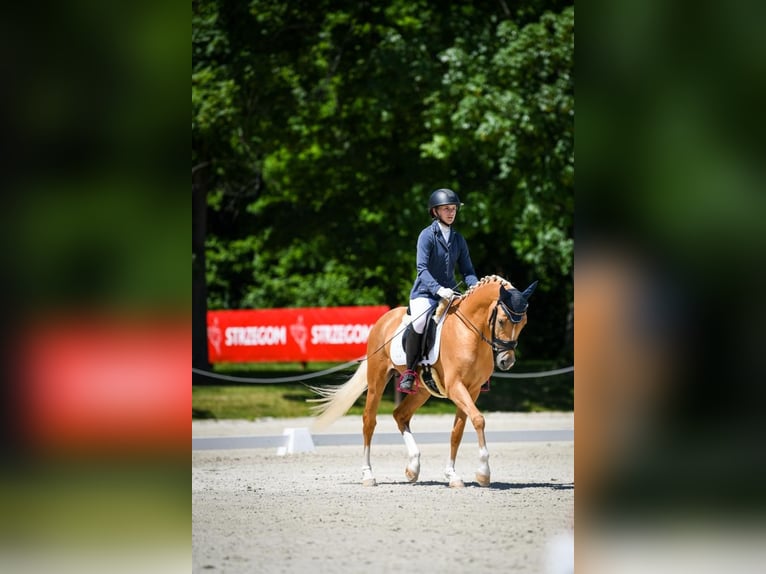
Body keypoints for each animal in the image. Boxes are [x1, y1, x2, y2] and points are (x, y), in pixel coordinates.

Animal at [308, 276, 536, 488]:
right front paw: (483, 473)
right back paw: (368, 475)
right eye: (502, 321)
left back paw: (413, 468)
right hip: (377, 381)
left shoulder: (472, 390)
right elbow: (479, 420)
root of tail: (385, 318)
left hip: (422, 390)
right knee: (369, 421)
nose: (507, 361)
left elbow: (458, 431)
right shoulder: (456, 387)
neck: (469, 332)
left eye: (524, 323)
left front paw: (453, 475)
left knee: (400, 415)